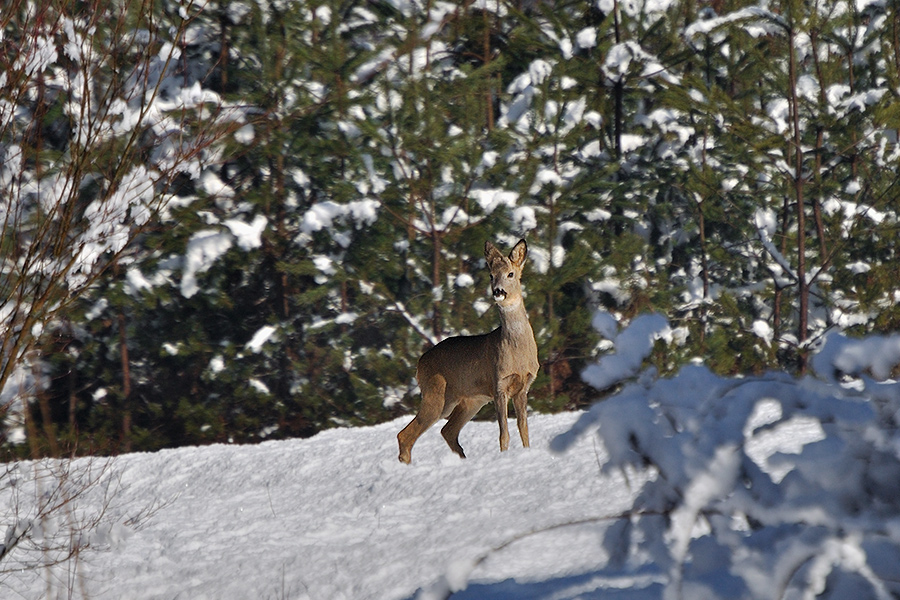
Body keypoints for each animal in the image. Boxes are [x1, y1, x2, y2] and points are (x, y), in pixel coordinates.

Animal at [398, 239, 536, 464]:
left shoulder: (523, 386)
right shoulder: (498, 385)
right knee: (406, 434)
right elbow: (503, 433)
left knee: (447, 431)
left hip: (470, 400)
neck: (518, 353)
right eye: (491, 275)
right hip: (436, 393)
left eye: (511, 274)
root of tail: (419, 362)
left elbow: (524, 429)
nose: (498, 291)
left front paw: (527, 452)